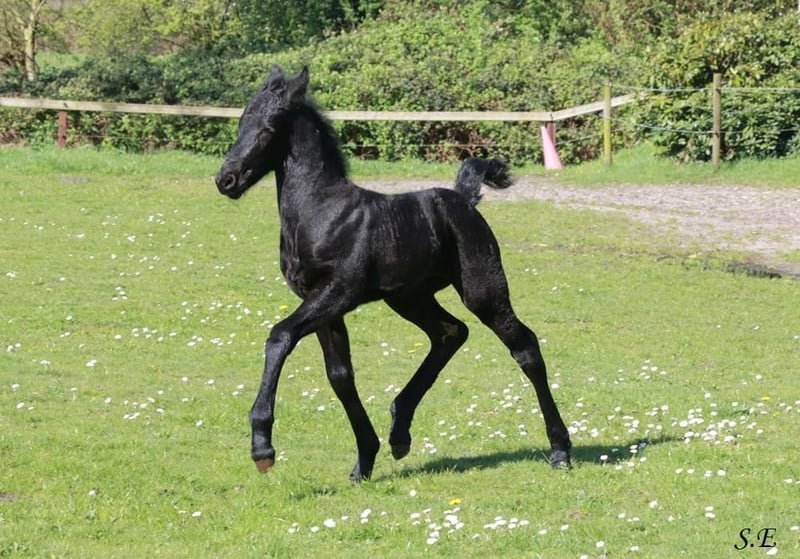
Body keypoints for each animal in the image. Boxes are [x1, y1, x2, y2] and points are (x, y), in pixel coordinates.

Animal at [215, 65, 572, 482]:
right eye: (242, 121)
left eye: (269, 127)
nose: (226, 180)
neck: (321, 209)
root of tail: (465, 200)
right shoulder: (319, 302)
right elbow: (340, 375)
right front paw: (364, 459)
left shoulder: (338, 292)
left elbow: (280, 337)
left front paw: (262, 447)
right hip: (408, 297)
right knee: (451, 332)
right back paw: (400, 432)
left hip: (483, 291)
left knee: (524, 346)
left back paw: (561, 450)